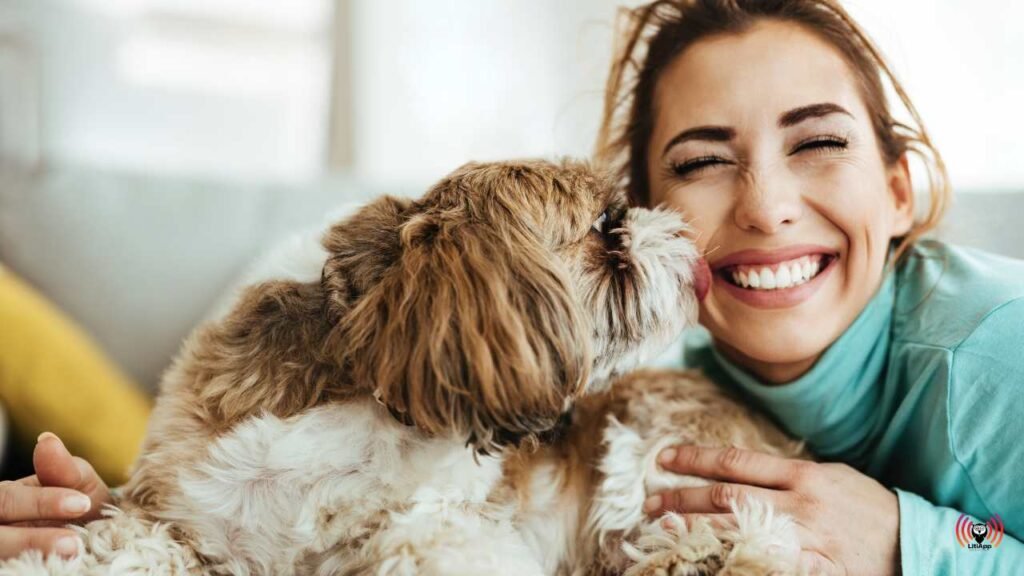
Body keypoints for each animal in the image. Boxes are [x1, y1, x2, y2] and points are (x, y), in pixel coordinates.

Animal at [4, 157, 811, 573]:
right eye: (606, 226)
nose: (683, 240)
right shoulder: (182, 510)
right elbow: (119, 543)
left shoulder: (452, 529)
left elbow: (416, 542)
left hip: (651, 447)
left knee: (762, 539)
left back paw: (700, 551)